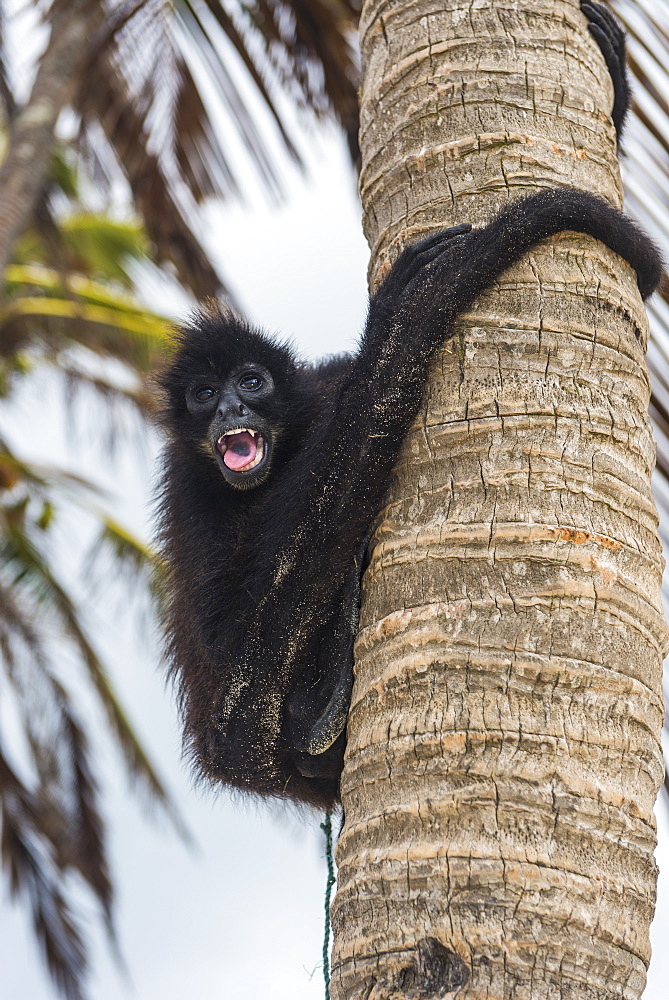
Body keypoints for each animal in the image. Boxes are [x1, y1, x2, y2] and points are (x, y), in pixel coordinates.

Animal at [155, 3, 656, 808]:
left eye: (251, 383)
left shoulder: (318, 386)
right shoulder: (189, 483)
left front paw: (612, 78)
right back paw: (322, 708)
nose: (230, 409)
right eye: (203, 396)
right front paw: (394, 313)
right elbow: (236, 649)